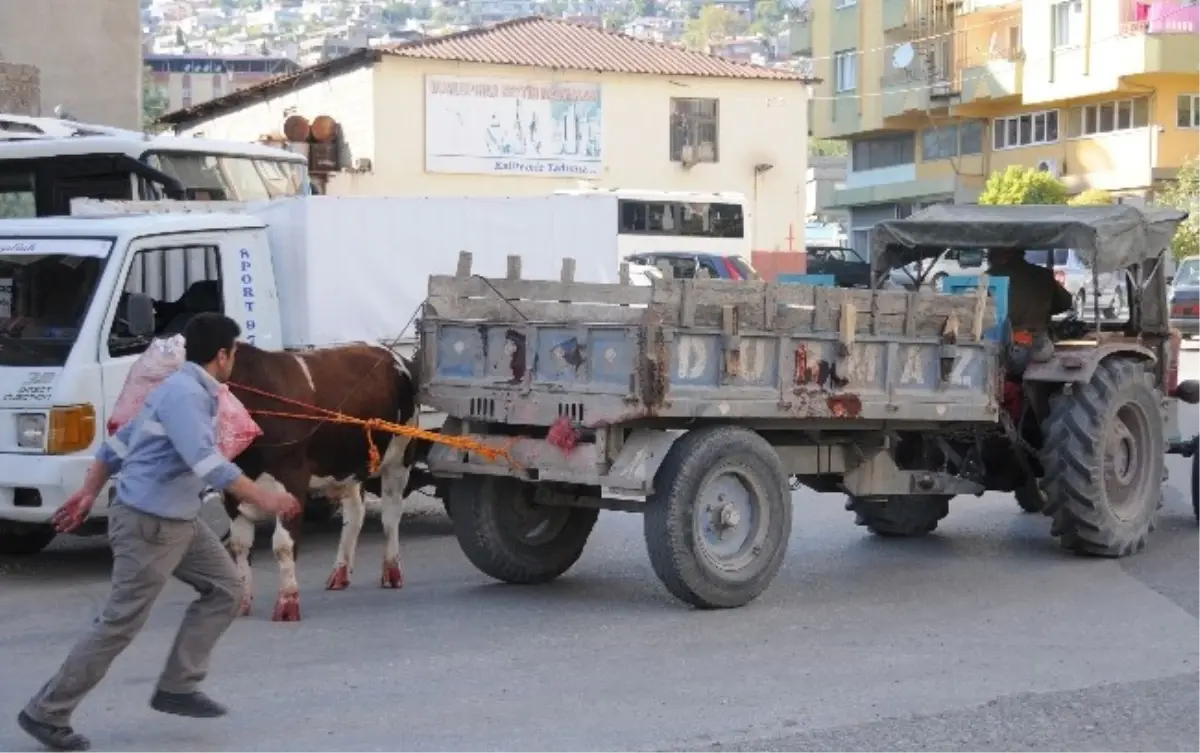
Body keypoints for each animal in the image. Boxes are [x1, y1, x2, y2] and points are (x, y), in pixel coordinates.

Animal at [223, 342, 420, 623]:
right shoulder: (231, 492)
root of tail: (390, 353)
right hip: (347, 465)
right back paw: (340, 573)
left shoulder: (292, 478)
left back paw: (392, 571)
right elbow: (239, 546)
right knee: (355, 514)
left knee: (391, 515)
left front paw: (287, 604)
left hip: (400, 457)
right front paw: (242, 604)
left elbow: (283, 545)